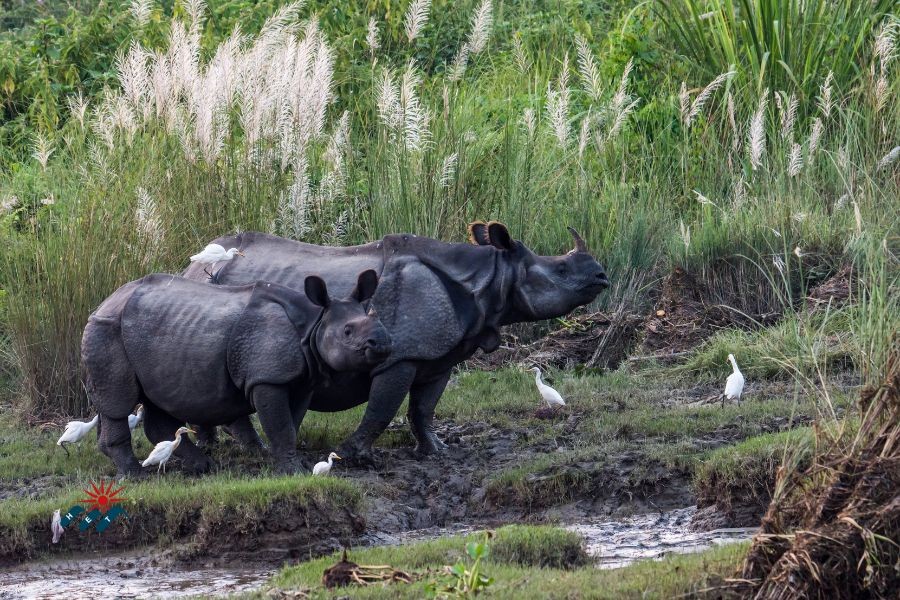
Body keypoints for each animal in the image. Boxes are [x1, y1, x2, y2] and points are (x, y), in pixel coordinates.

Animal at [84, 270, 390, 474]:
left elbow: (291, 422)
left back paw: (202, 467)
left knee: (156, 401)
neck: (314, 323)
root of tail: (105, 301)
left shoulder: (304, 380)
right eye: (347, 332)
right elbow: (281, 425)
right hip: (106, 328)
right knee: (118, 402)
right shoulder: (267, 378)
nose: (384, 342)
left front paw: (292, 464)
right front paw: (294, 471)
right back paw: (136, 475)